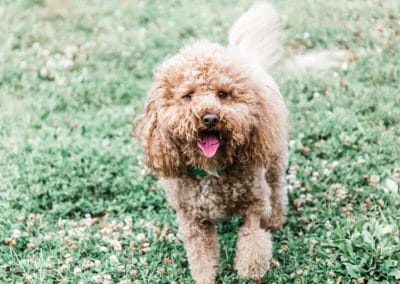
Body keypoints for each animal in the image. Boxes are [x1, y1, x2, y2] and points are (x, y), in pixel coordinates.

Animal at [134, 2, 288, 284]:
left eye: (223, 94)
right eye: (188, 95)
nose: (209, 117)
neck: (211, 169)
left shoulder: (254, 203)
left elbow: (252, 239)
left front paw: (250, 271)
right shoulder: (193, 221)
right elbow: (202, 258)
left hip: (274, 158)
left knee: (277, 188)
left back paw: (276, 220)